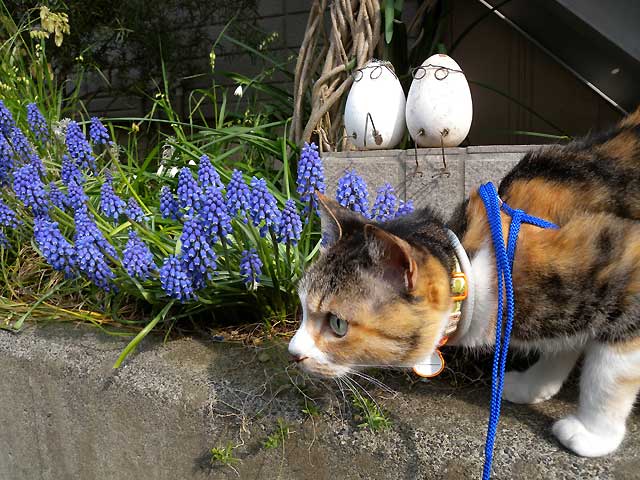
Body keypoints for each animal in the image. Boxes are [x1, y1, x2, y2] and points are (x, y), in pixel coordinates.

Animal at [288, 108, 640, 458]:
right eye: (303, 308)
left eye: (337, 324)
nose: (292, 353)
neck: (476, 267)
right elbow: (563, 344)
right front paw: (533, 386)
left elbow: (608, 376)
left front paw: (594, 433)